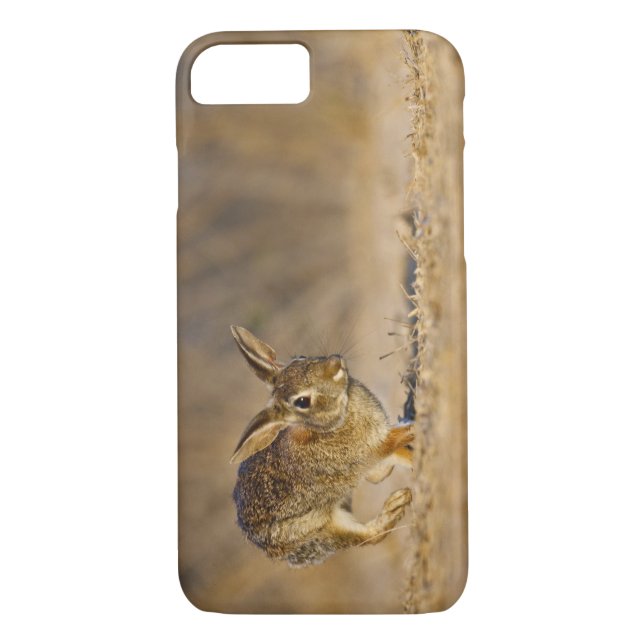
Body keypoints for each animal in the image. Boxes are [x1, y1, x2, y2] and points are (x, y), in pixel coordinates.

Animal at [229, 325, 414, 567]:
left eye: (300, 358)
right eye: (302, 402)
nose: (335, 363)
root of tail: (265, 547)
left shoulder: (376, 453)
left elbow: (391, 461)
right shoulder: (375, 448)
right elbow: (398, 442)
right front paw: (416, 426)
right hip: (324, 527)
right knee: (368, 537)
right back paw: (397, 505)